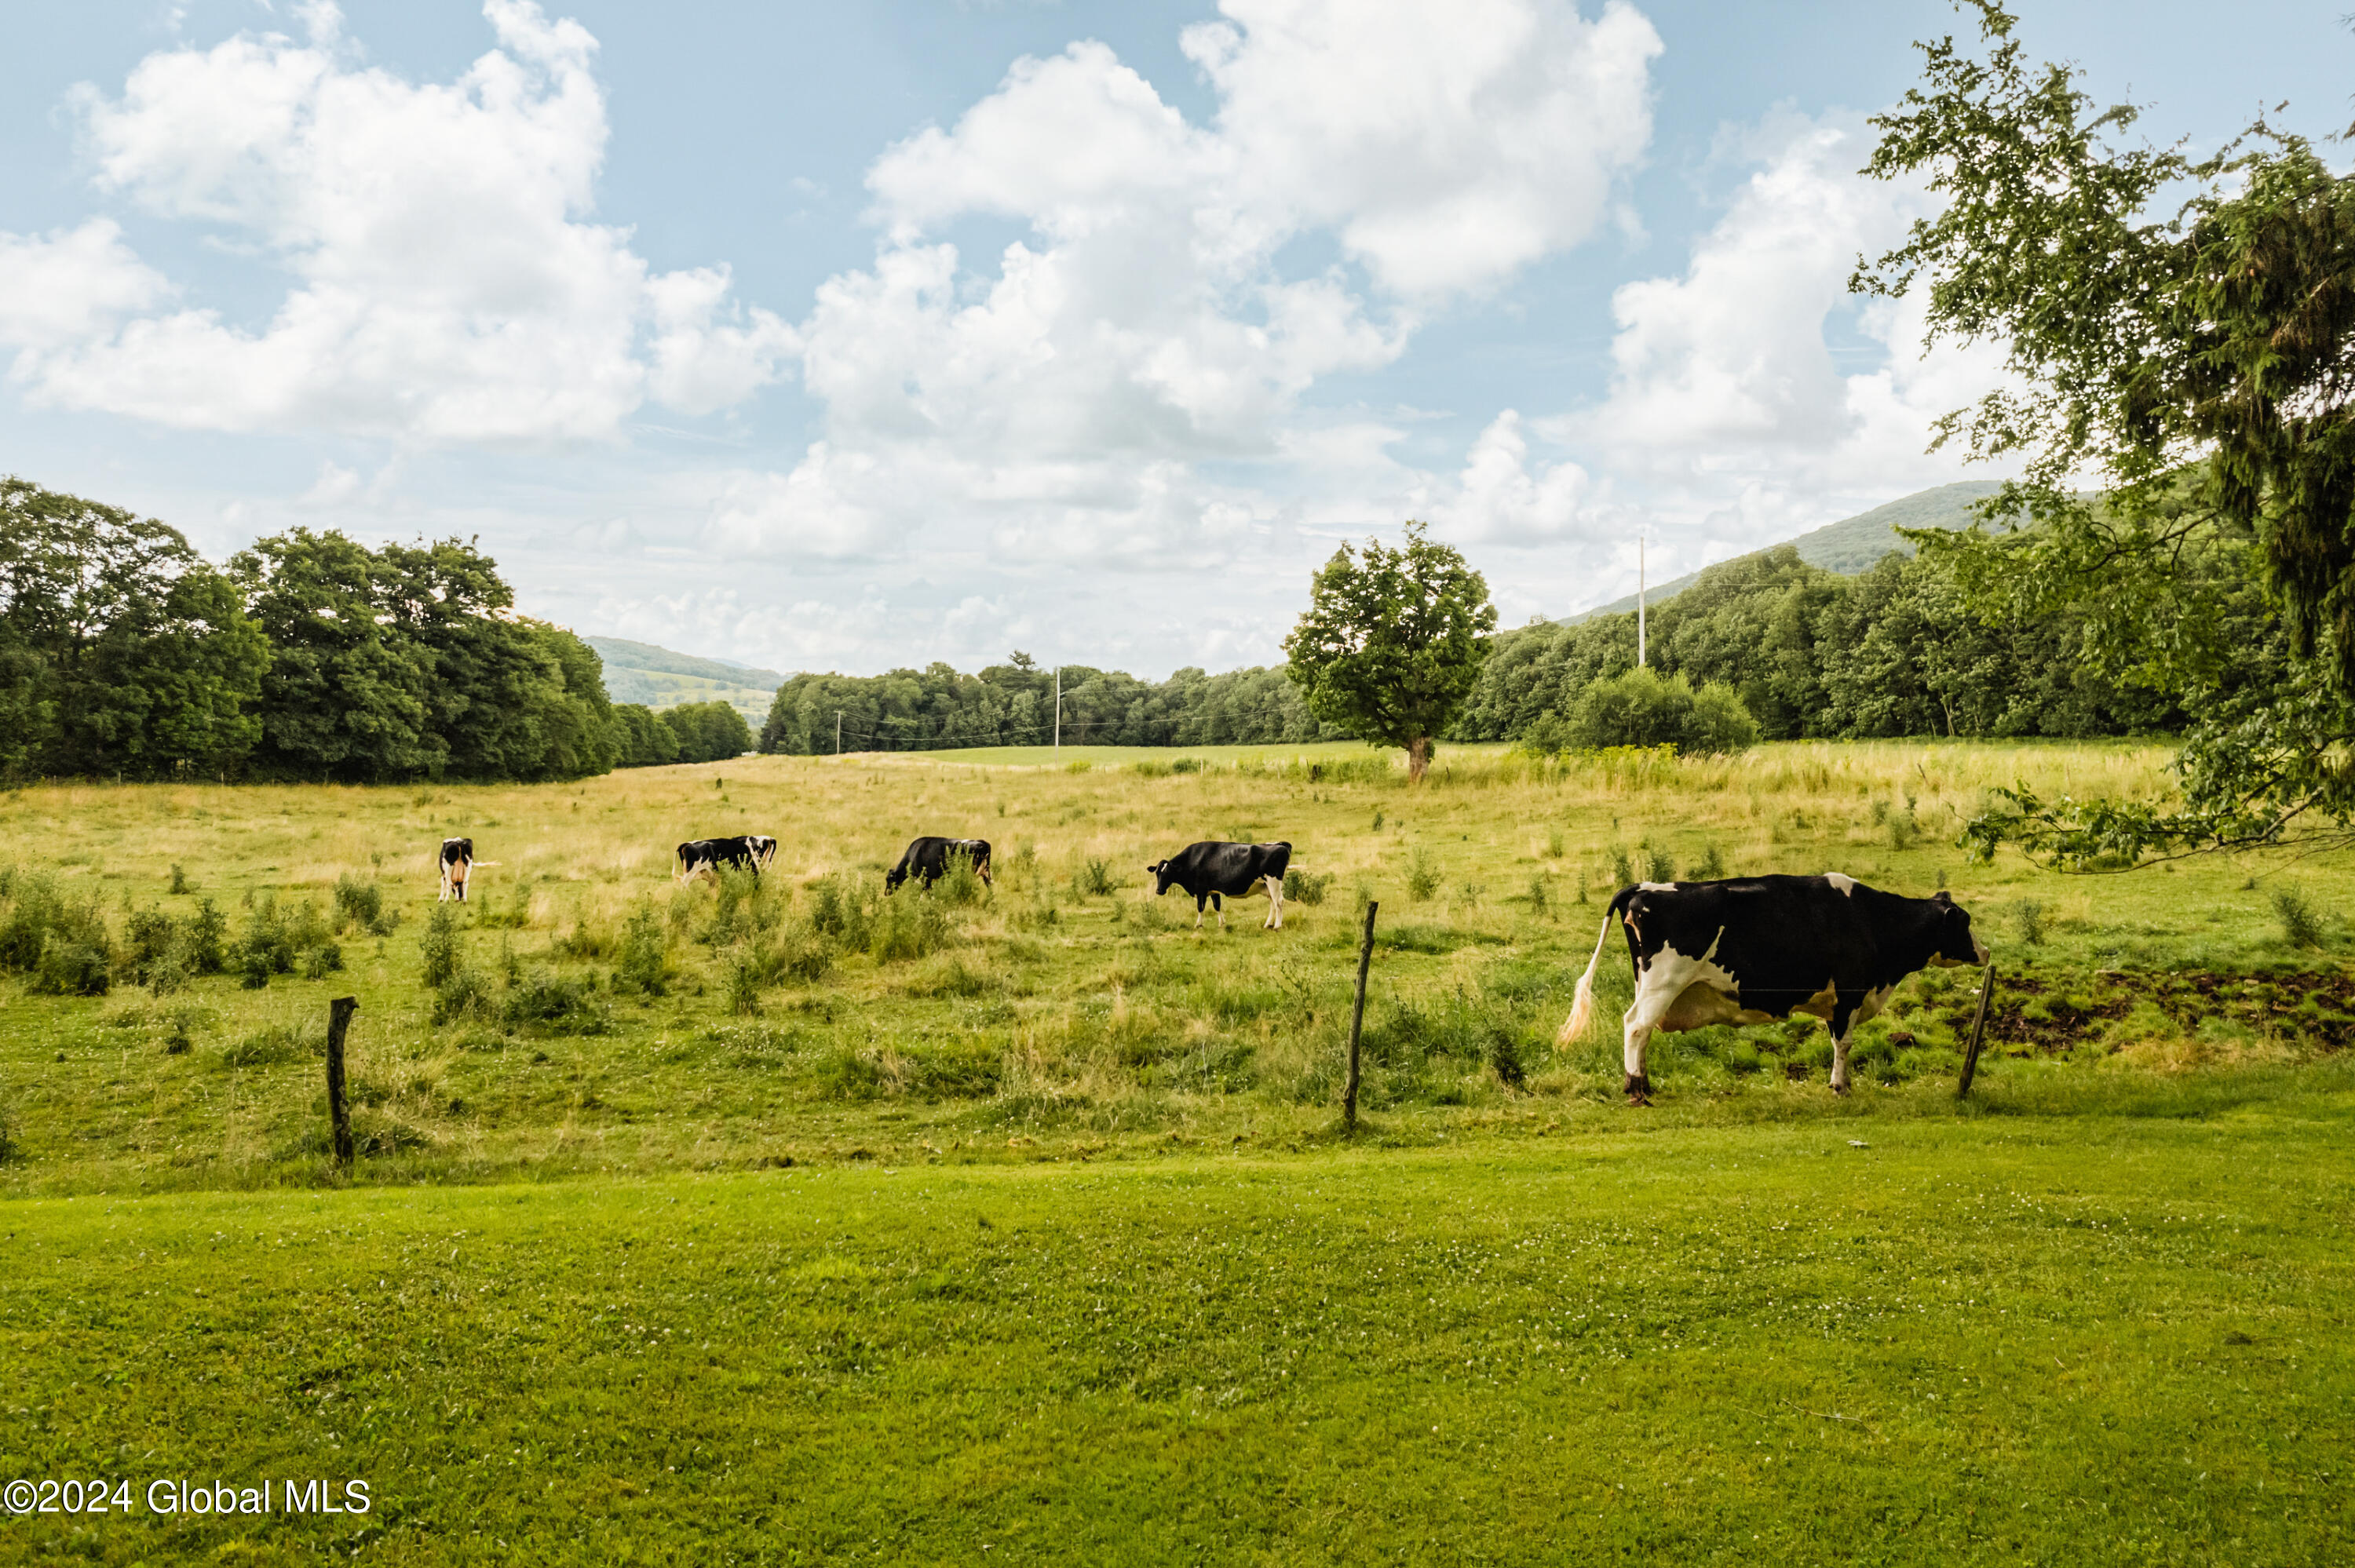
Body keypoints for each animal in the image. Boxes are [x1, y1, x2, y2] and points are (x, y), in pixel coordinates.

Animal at [1149, 843, 1300, 928]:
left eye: (1168, 873)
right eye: (1157, 873)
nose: (1159, 891)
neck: (1192, 860)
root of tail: (1281, 845)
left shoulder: (1201, 890)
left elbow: (1200, 907)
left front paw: (1198, 924)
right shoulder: (1213, 890)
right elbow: (1217, 906)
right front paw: (1222, 923)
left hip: (1274, 881)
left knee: (1279, 902)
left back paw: (1277, 926)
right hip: (1266, 885)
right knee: (1273, 903)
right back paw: (1268, 924)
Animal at [1564, 866, 1988, 1111]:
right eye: (1964, 922)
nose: (1985, 952)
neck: (1871, 918)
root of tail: (1646, 886)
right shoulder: (1850, 992)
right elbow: (1844, 1044)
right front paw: (1841, 1087)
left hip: (1651, 984)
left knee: (1644, 1031)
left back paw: (1645, 1083)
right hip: (1664, 981)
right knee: (1635, 1026)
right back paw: (1636, 1090)